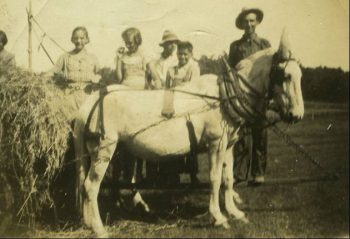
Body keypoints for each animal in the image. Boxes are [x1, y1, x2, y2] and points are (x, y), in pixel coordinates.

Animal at [73, 31, 304, 237]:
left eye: (300, 75)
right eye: (285, 76)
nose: (297, 115)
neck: (224, 97)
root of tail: (89, 105)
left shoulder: (228, 145)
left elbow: (228, 178)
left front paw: (235, 212)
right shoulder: (215, 144)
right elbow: (215, 179)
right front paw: (218, 217)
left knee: (88, 184)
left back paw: (90, 222)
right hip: (104, 149)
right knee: (91, 186)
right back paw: (99, 229)